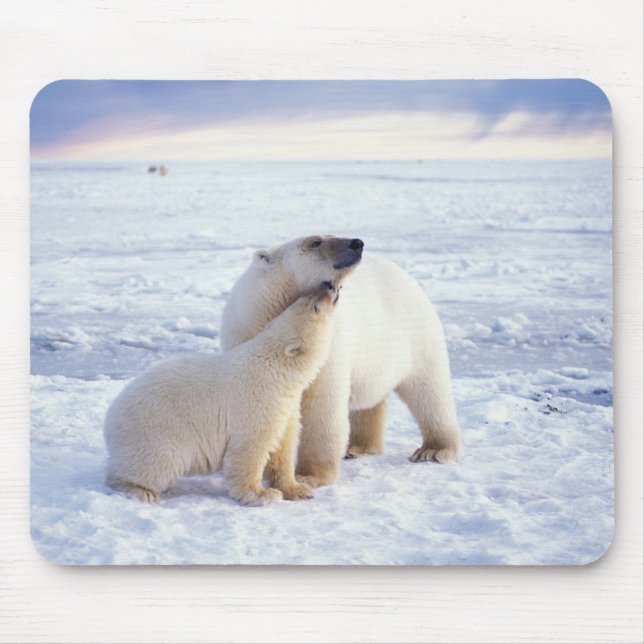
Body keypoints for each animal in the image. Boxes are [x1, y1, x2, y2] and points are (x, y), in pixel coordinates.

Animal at [103, 282, 340, 506]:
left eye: (303, 299)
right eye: (314, 307)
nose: (329, 286)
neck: (277, 369)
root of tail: (110, 421)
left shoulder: (286, 406)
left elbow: (282, 447)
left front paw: (299, 489)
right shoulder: (258, 402)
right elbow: (250, 448)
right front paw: (262, 494)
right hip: (155, 432)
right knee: (157, 463)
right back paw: (140, 490)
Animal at [220, 235, 461, 488]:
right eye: (315, 242)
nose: (357, 243)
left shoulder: (328, 343)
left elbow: (322, 405)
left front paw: (309, 476)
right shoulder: (245, 336)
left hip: (417, 336)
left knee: (429, 391)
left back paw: (433, 450)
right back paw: (358, 447)